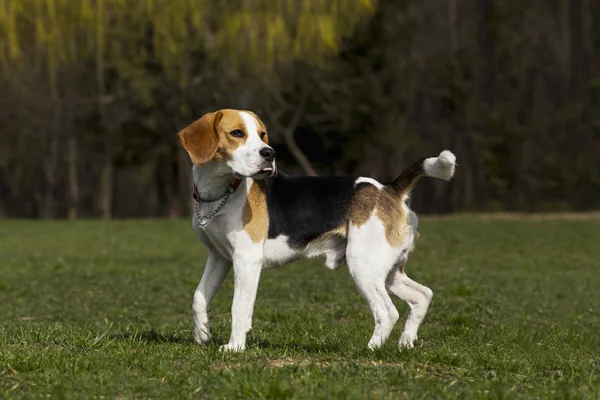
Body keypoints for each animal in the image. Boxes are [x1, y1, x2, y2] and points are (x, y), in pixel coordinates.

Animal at [177, 108, 454, 352]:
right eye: (237, 133)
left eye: (262, 134)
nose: (270, 153)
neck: (220, 193)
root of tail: (391, 189)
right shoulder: (219, 257)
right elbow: (199, 297)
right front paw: (202, 335)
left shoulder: (246, 260)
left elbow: (239, 307)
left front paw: (234, 347)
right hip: (387, 271)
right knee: (422, 296)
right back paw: (406, 342)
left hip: (363, 266)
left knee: (387, 312)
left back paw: (370, 349)